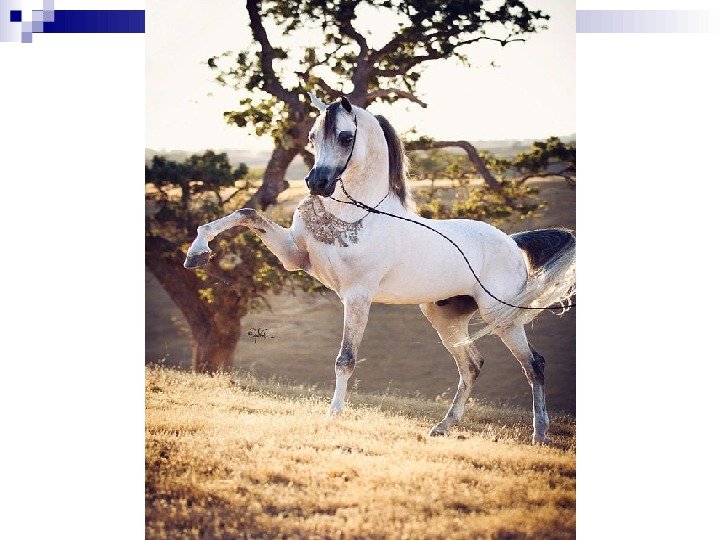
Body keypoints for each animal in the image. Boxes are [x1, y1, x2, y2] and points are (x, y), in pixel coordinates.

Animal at [183, 94, 575, 444]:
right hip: (445, 317)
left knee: (534, 364)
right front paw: (197, 253)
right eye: (312, 136)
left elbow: (346, 359)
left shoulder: (357, 296)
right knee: (472, 365)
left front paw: (333, 415)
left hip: (501, 318)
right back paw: (443, 427)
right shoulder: (294, 257)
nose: (316, 183)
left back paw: (540, 435)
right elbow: (246, 214)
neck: (355, 214)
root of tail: (512, 242)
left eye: (345, 136)